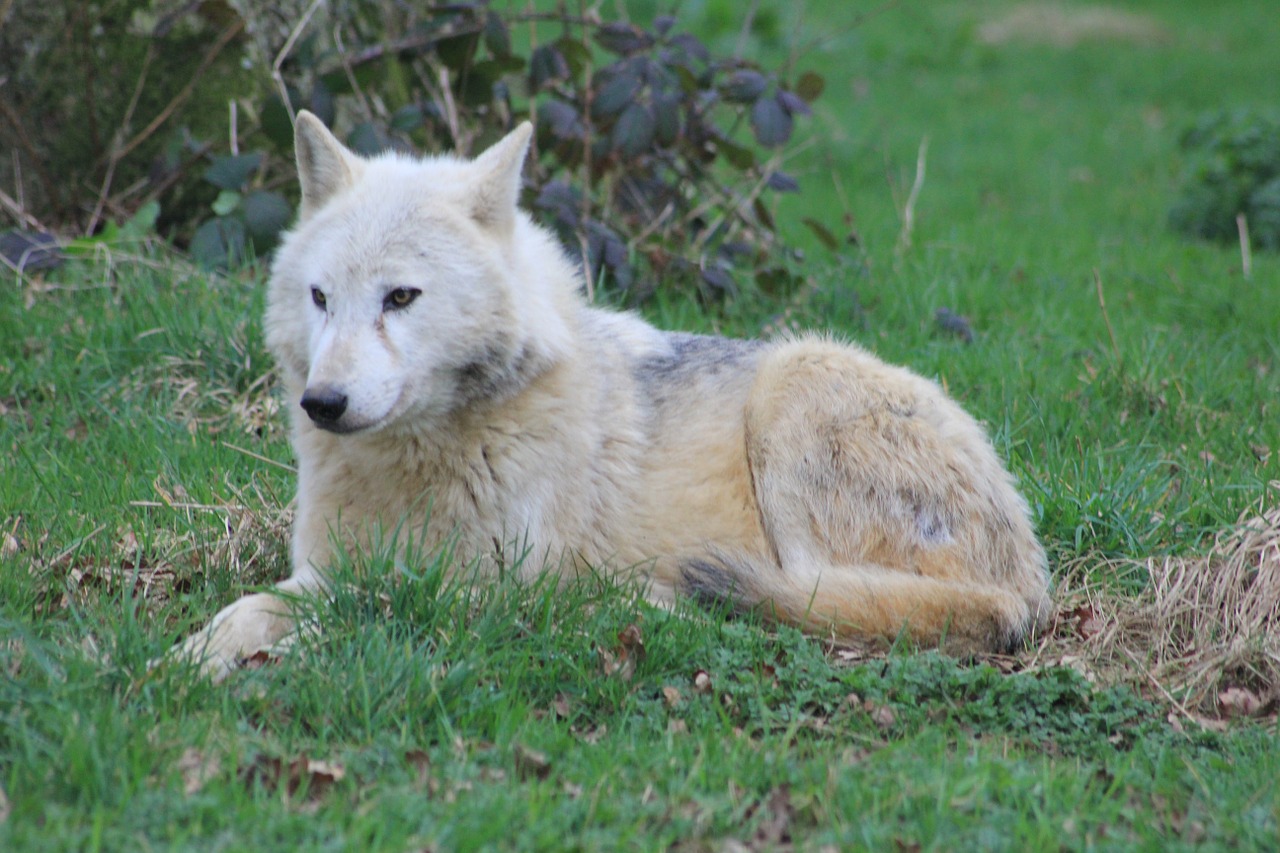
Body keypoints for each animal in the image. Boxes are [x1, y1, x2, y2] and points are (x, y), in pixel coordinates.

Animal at [170, 109, 1049, 676]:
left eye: (401, 297)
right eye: (321, 298)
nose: (323, 403)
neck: (424, 458)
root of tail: (1029, 584)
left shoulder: (477, 588)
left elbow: (345, 614)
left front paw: (253, 659)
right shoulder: (328, 566)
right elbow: (248, 608)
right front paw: (183, 658)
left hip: (795, 388)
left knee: (812, 599)